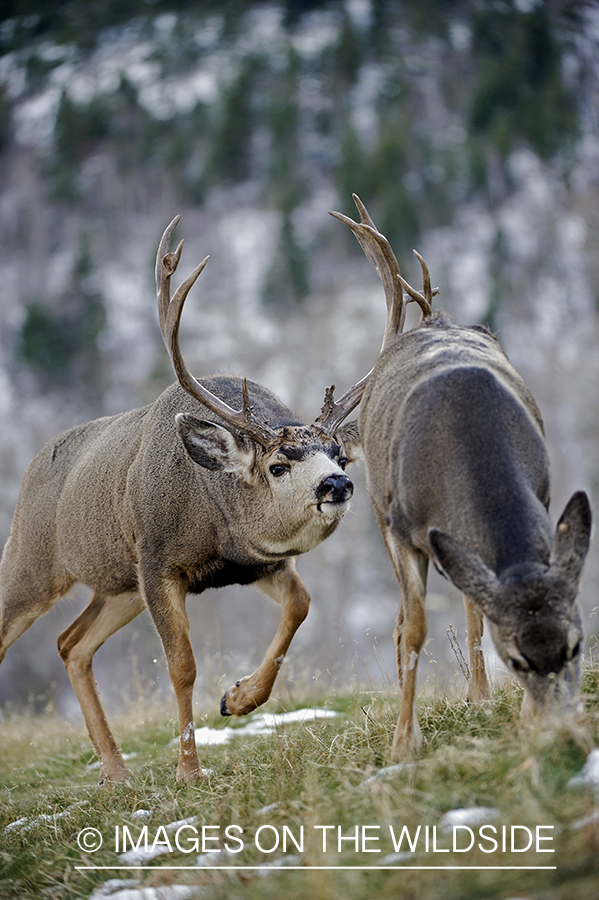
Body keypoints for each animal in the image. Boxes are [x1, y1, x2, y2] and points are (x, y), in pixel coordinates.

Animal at [0, 215, 367, 784]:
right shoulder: (157, 561)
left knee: (70, 644)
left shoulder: (251, 564)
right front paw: (189, 770)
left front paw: (237, 699)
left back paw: (116, 773)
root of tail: (29, 470)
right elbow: (182, 665)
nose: (336, 485)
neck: (213, 517)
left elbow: (302, 604)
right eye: (278, 465)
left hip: (117, 584)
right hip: (31, 563)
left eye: (340, 456)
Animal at [330, 195, 592, 758]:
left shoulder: (542, 495)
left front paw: (514, 711)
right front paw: (403, 744)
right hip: (380, 510)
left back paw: (479, 696)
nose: (562, 730)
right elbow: (414, 628)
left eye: (576, 644)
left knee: (470, 597)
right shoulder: (400, 526)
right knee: (405, 619)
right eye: (516, 658)